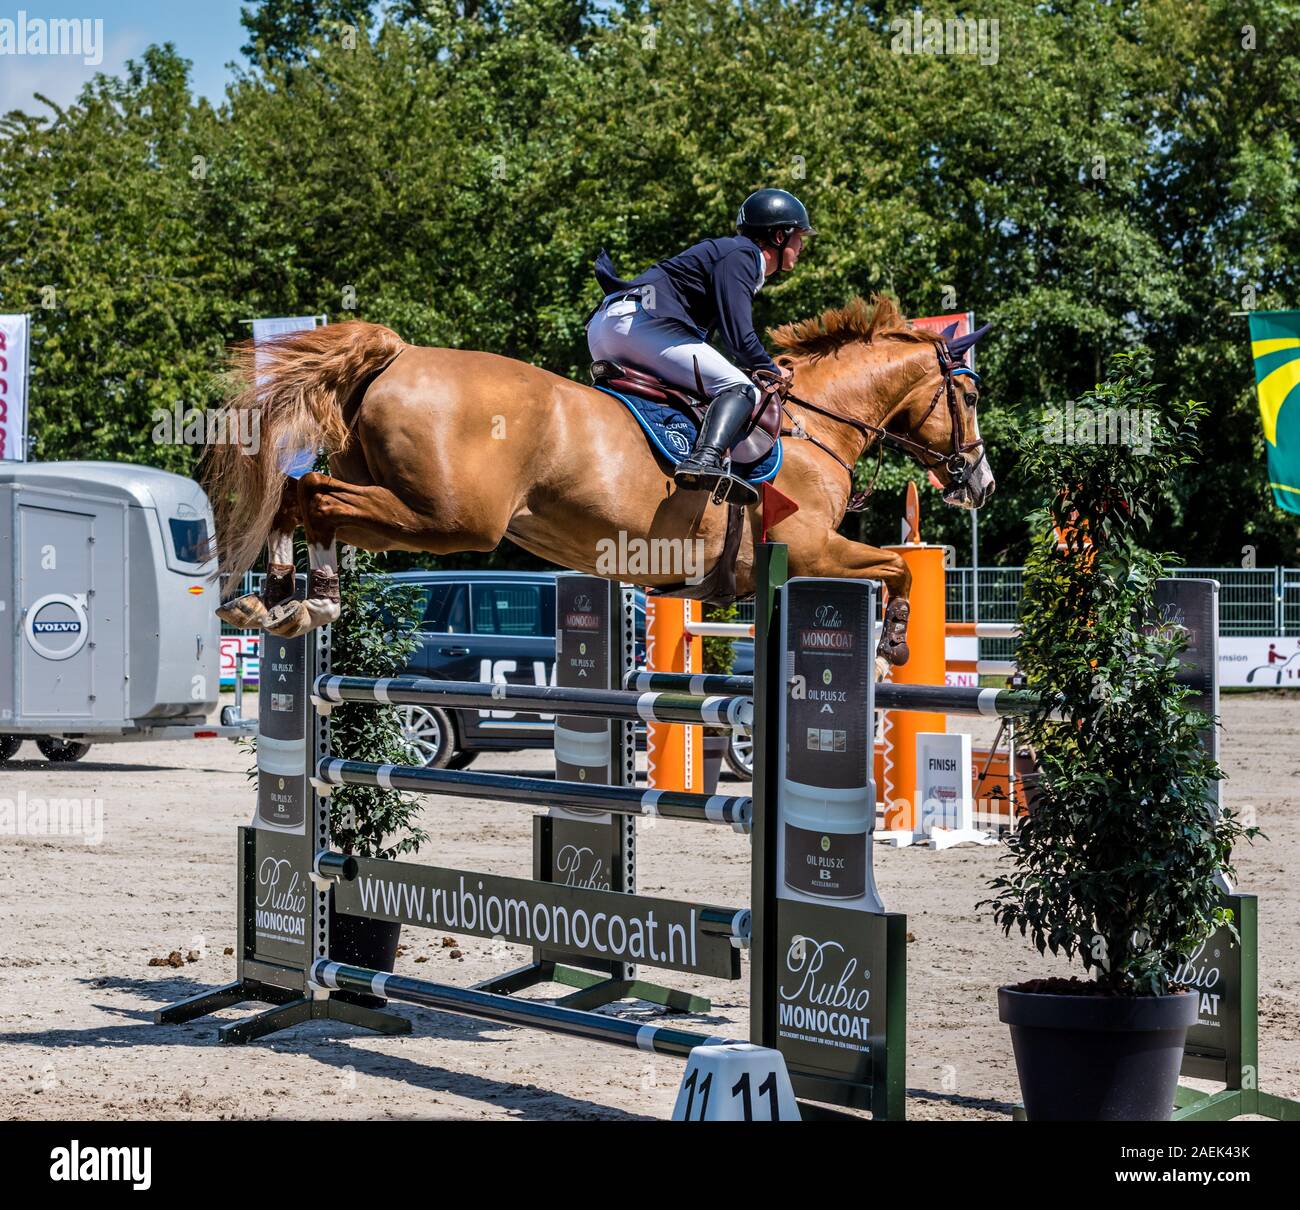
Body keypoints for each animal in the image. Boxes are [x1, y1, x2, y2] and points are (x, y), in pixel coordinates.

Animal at [208, 296, 987, 665]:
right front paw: (889, 649)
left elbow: (891, 567)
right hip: (452, 521)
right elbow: (898, 567)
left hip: (413, 508)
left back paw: (275, 601)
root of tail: (399, 355)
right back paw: (310, 600)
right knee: (314, 498)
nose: (979, 482)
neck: (812, 425)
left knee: (300, 498)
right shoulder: (810, 549)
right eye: (971, 396)